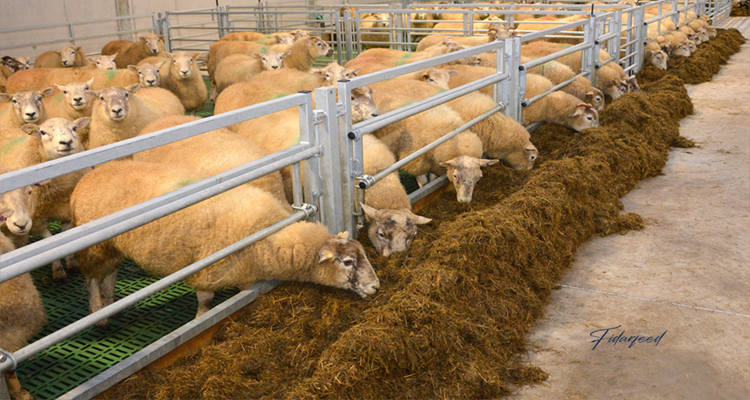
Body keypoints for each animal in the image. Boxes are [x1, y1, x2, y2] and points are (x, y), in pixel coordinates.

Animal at [1, 118, 91, 283]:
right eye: (43, 132)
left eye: (74, 128)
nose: (66, 142)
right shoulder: (37, 219)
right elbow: (49, 240)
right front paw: (58, 271)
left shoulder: (66, 211)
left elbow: (65, 235)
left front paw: (71, 262)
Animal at [71, 160, 380, 327]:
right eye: (348, 262)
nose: (377, 286)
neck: (266, 234)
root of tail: (87, 178)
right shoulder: (207, 271)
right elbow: (206, 301)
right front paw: (199, 319)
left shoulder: (245, 276)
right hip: (95, 248)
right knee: (90, 279)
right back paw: (98, 313)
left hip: (112, 248)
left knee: (108, 274)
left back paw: (109, 303)